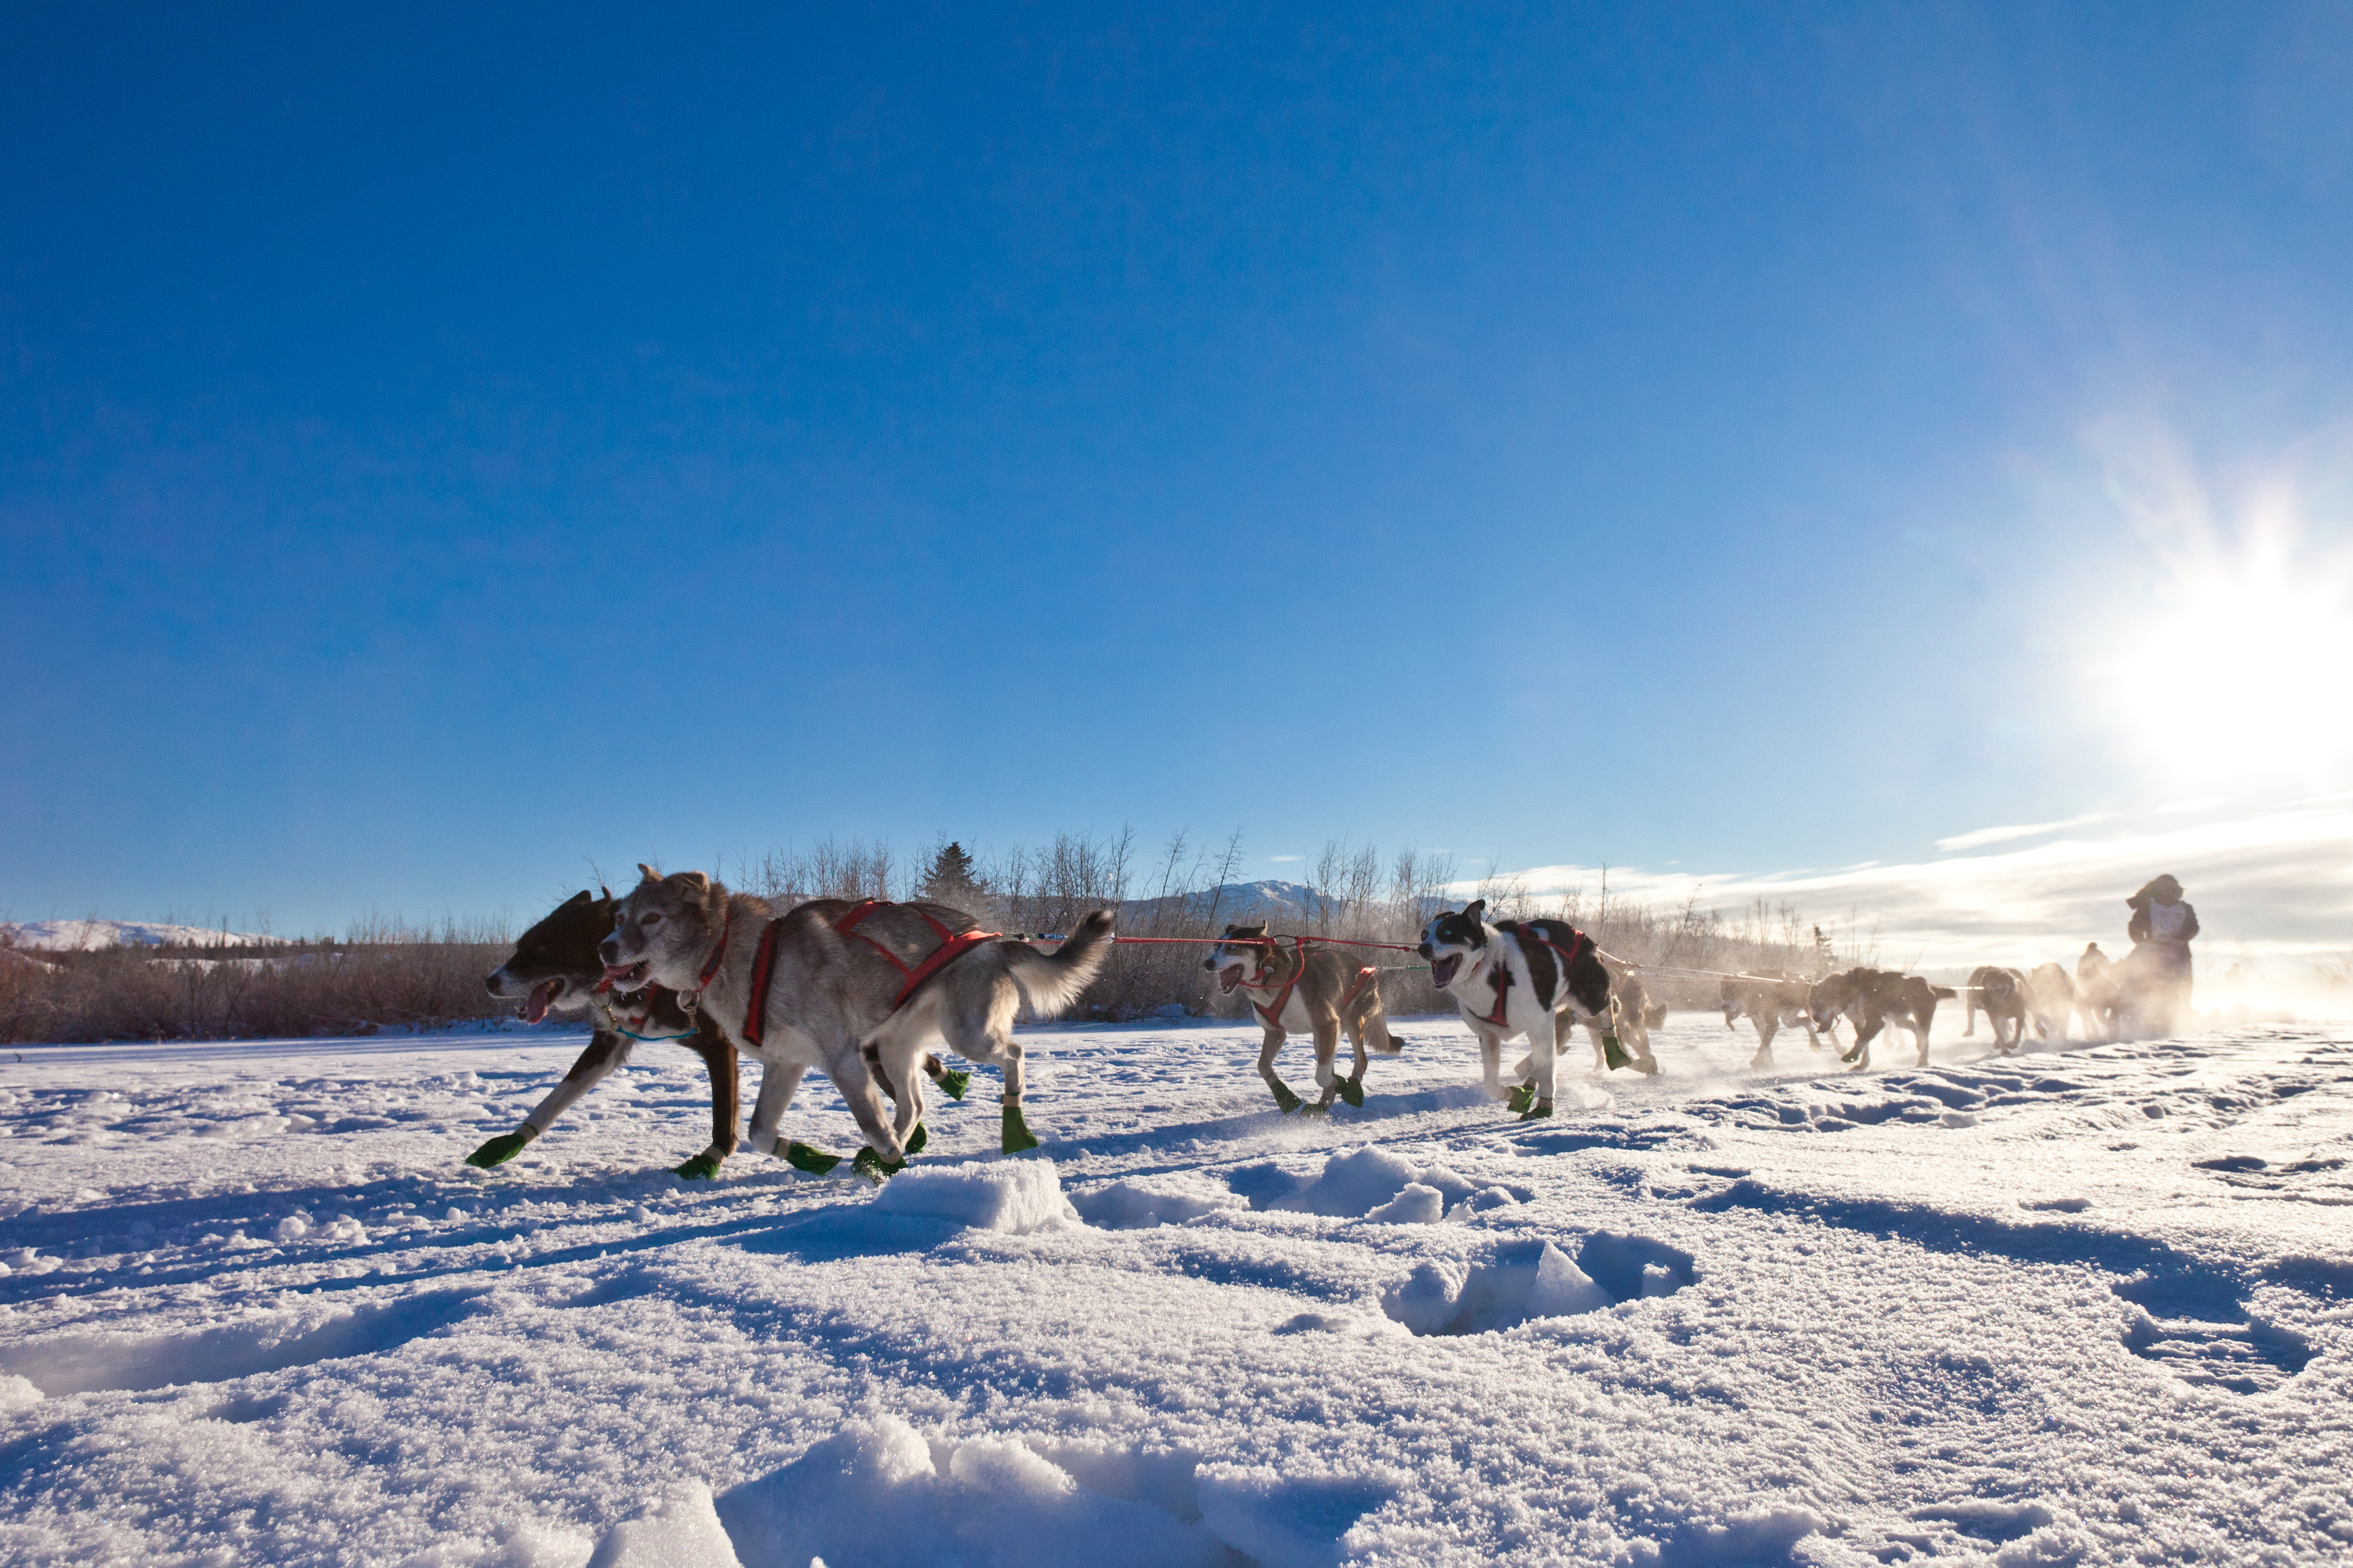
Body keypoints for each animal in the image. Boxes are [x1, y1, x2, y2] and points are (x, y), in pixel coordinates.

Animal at [475, 884, 734, 1175]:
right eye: (519, 946)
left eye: (541, 950)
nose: (489, 982)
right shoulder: (608, 1044)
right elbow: (553, 1099)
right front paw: (511, 1141)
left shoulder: (719, 1044)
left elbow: (724, 1111)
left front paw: (711, 1159)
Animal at [1204, 921, 1402, 1114]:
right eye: (1216, 947)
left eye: (1233, 947)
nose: (1207, 963)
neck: (1270, 977)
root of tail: (1366, 966)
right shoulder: (1275, 1033)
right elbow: (1262, 1066)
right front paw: (1285, 1096)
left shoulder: (1328, 1023)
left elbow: (1322, 1077)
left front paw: (1336, 1083)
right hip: (1321, 1037)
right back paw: (1321, 1105)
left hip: (1350, 1022)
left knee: (1361, 1060)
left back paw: (1351, 1089)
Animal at [1411, 902, 1656, 1123]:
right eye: (1424, 935)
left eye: (1448, 933)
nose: (1423, 948)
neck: (1494, 969)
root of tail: (1579, 933)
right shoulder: (1489, 1036)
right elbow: (1492, 1085)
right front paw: (1515, 1094)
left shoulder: (1542, 1024)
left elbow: (1547, 1070)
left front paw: (1544, 1107)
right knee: (1539, 1058)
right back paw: (1528, 1087)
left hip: (1588, 1000)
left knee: (1608, 1009)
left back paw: (1614, 1048)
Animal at [1722, 973, 1826, 1072]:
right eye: (1723, 994)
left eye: (1734, 992)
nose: (1724, 1007)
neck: (1757, 992)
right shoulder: (1757, 1020)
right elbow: (1764, 1039)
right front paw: (1768, 1061)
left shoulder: (1772, 1022)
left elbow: (1765, 1043)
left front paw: (1758, 1061)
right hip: (1788, 1020)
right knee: (1806, 1021)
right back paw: (1815, 1042)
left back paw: (1816, 1042)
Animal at [1807, 968, 1958, 1081]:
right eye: (1812, 1003)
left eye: (1823, 1001)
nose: (1815, 1017)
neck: (1854, 989)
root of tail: (1927, 985)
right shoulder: (1859, 1022)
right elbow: (1864, 1043)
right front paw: (1863, 1063)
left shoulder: (1875, 1022)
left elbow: (1861, 1040)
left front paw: (1852, 1055)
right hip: (1899, 1020)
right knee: (1914, 1028)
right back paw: (1919, 1044)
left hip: (1922, 1017)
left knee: (1924, 1037)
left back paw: (1922, 1060)